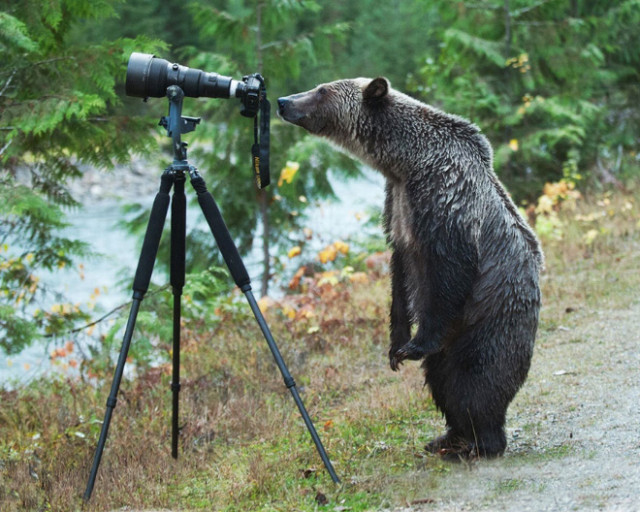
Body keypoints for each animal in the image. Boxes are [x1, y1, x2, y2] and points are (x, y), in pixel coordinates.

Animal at [278, 77, 544, 460]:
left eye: (322, 90)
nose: (283, 101)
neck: (405, 163)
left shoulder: (444, 201)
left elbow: (449, 270)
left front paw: (413, 345)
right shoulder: (398, 208)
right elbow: (400, 277)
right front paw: (396, 347)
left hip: (489, 320)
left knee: (476, 380)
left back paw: (479, 442)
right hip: (457, 339)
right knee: (442, 379)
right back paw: (448, 437)